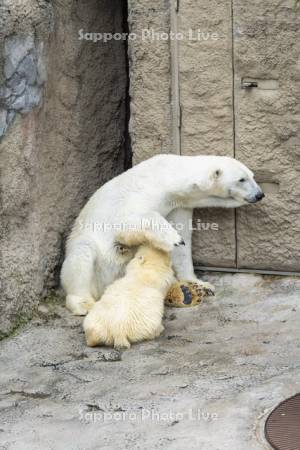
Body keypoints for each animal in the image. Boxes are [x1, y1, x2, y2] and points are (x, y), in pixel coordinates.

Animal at [61, 156, 262, 314]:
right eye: (242, 179)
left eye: (252, 175)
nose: (260, 194)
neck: (167, 177)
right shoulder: (141, 194)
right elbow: (128, 223)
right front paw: (172, 239)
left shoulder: (179, 204)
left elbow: (183, 243)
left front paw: (200, 283)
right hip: (89, 252)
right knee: (81, 257)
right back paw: (83, 303)